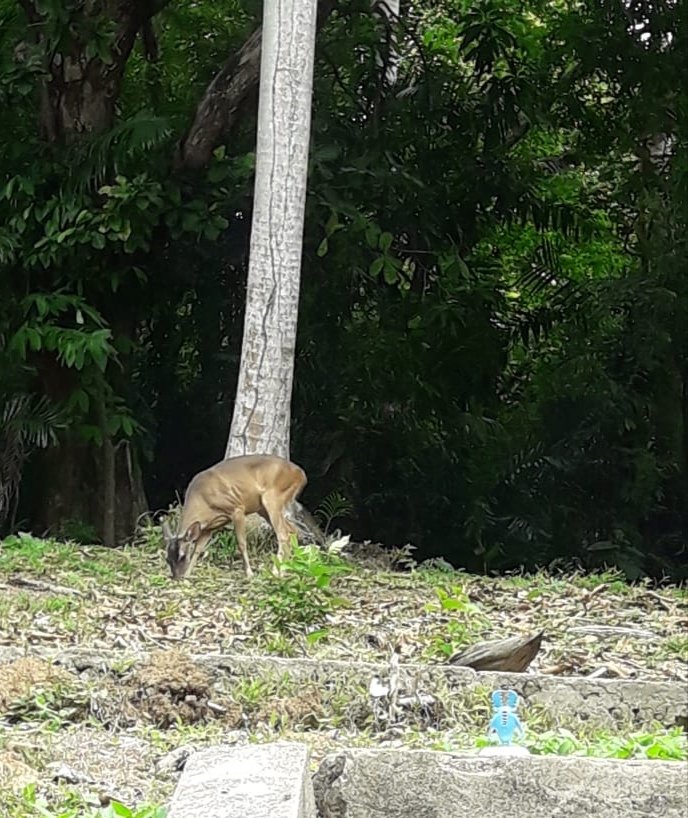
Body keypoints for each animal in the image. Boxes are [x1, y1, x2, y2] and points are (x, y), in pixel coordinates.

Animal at [162, 454, 307, 580]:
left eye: (182, 556)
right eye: (167, 559)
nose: (176, 577)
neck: (202, 501)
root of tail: (302, 475)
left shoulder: (236, 508)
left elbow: (241, 543)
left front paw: (249, 573)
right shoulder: (209, 527)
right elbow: (198, 549)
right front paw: (188, 574)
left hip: (273, 497)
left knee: (283, 534)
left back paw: (277, 572)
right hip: (262, 508)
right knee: (292, 530)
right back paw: (291, 567)